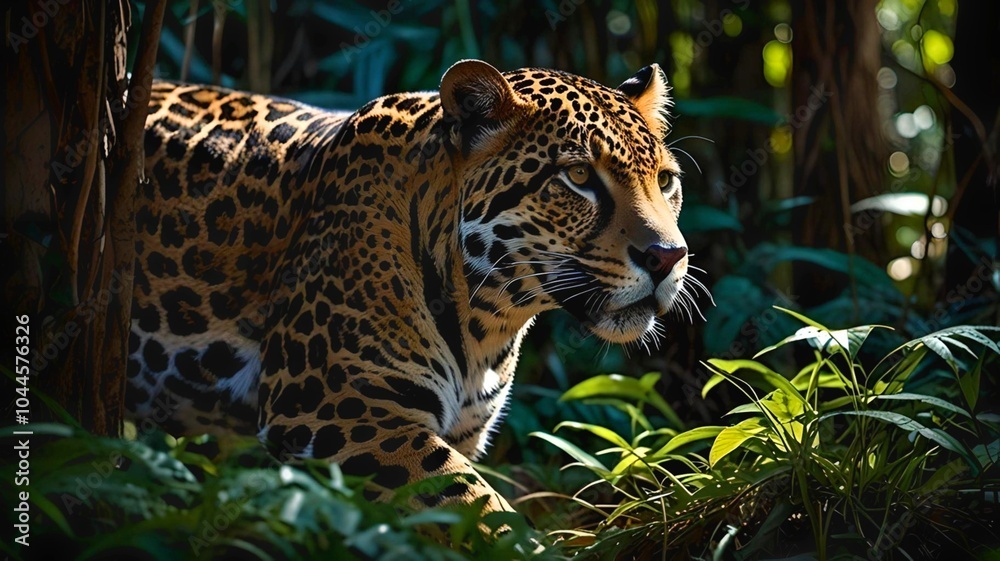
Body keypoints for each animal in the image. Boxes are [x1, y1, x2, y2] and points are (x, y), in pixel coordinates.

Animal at [127, 59, 693, 517]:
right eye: (577, 176)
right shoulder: (335, 405)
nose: (669, 257)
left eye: (665, 180)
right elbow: (479, 510)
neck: (488, 320)